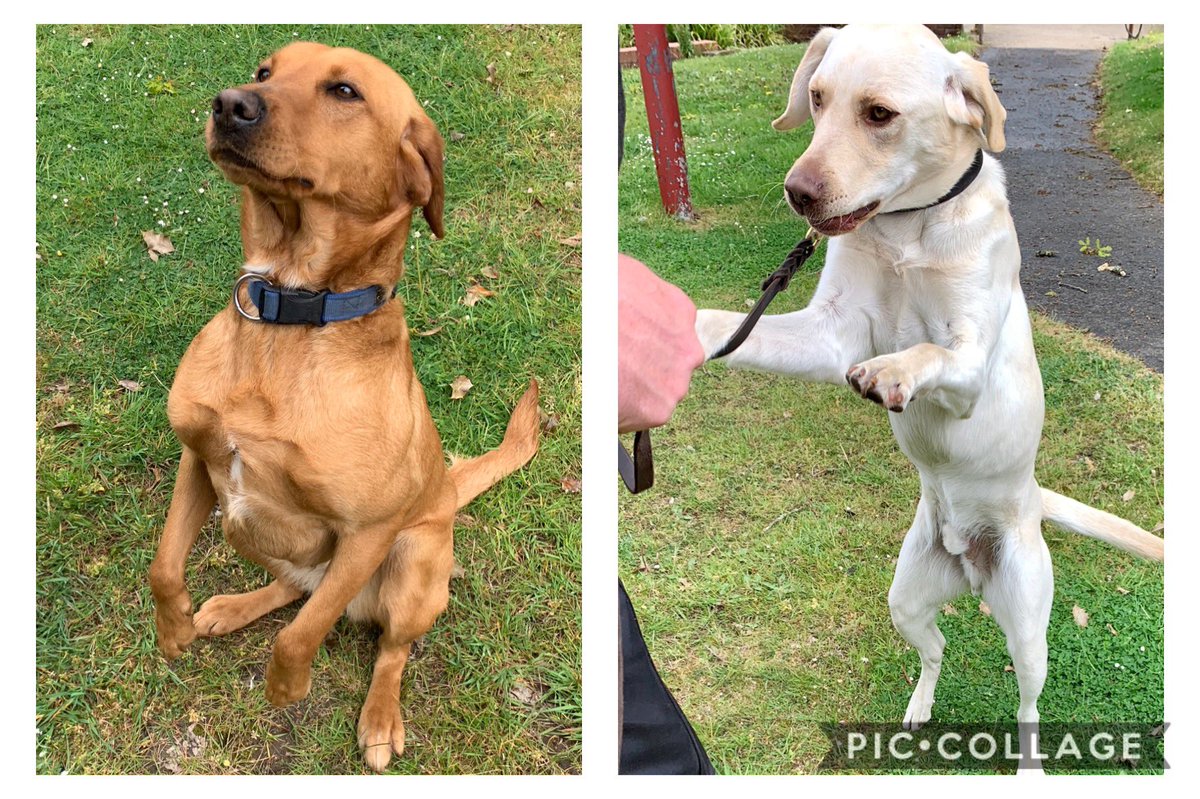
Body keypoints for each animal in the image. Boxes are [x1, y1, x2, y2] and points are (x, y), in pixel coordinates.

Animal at [148, 40, 540, 767]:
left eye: (345, 92)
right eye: (266, 71)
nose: (229, 104)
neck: (290, 315)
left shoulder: (368, 532)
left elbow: (301, 635)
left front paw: (285, 687)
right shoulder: (200, 459)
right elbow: (163, 567)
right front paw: (173, 630)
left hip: (415, 565)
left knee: (384, 644)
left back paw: (381, 717)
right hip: (247, 529)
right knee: (299, 588)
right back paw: (231, 605)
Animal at [696, 21, 1161, 763]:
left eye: (879, 114)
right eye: (817, 98)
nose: (797, 192)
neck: (905, 229)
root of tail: (973, 560)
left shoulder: (968, 363)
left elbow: (930, 351)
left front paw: (893, 372)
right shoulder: (828, 332)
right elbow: (733, 325)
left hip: (1027, 623)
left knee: (1029, 702)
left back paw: (1029, 761)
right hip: (907, 597)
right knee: (936, 648)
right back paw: (918, 706)